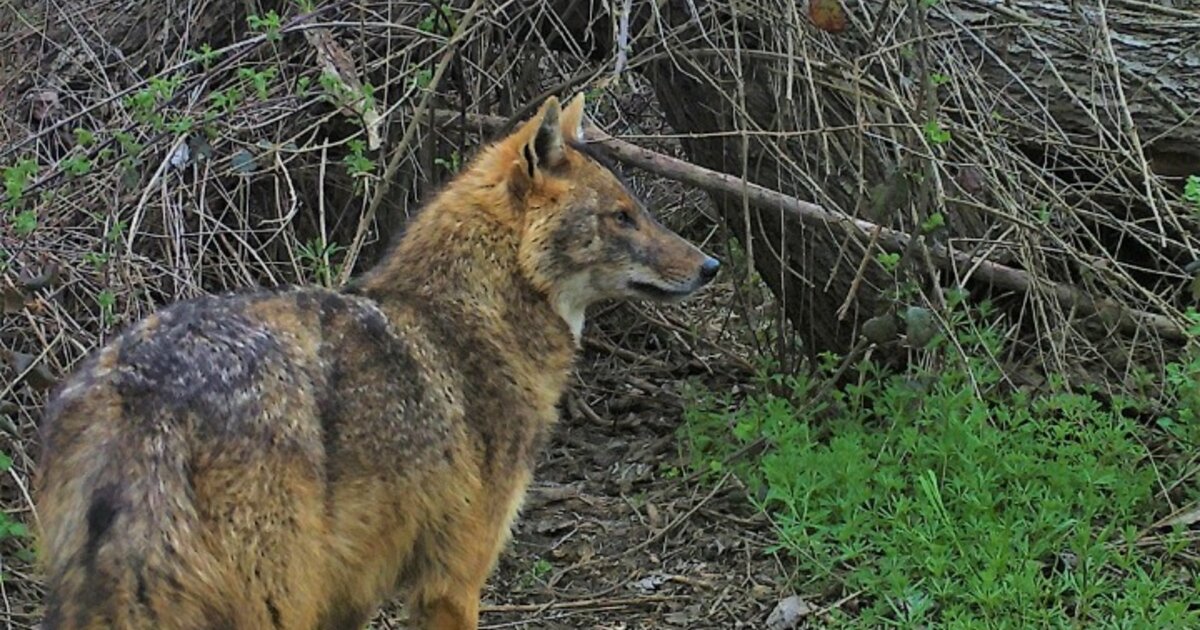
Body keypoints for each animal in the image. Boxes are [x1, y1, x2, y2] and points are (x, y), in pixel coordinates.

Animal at [32, 92, 719, 630]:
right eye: (622, 217)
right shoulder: (453, 580)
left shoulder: (352, 594)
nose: (711, 265)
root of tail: (142, 390)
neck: (469, 316)